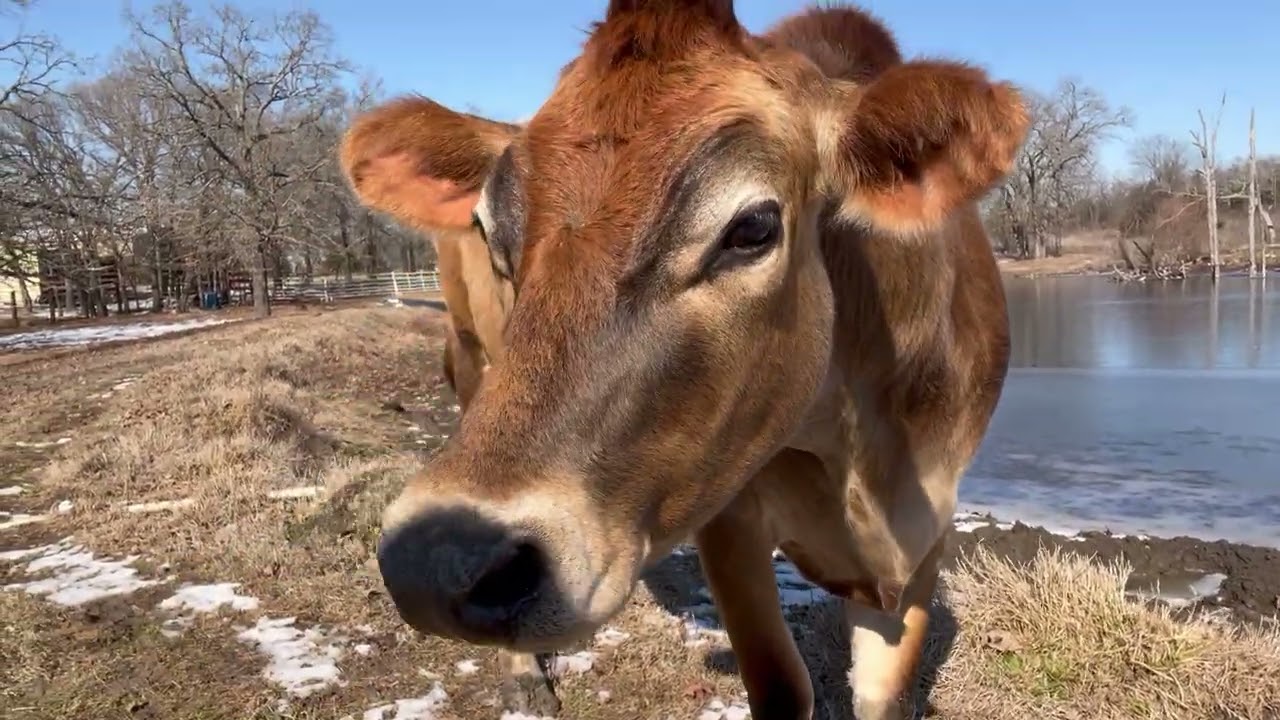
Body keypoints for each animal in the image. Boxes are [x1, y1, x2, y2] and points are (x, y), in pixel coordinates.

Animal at [339, 1, 1029, 718]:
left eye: (754, 228)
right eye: (492, 231)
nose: (431, 560)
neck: (857, 456)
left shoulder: (926, 532)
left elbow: (884, 693)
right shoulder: (727, 520)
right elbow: (782, 685)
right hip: (474, 354)